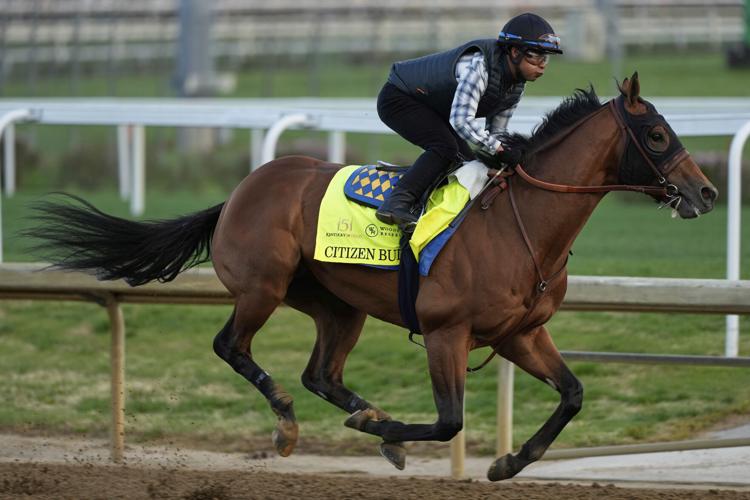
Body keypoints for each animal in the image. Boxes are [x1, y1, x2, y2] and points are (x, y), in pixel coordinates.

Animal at [27, 73, 717, 481]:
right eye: (657, 133)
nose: (706, 192)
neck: (521, 225)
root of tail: (240, 190)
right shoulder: (446, 331)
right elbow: (449, 420)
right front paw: (388, 433)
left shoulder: (520, 334)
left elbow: (572, 394)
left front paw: (510, 461)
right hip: (262, 286)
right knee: (233, 346)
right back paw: (292, 422)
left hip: (338, 305)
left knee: (321, 374)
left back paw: (364, 414)